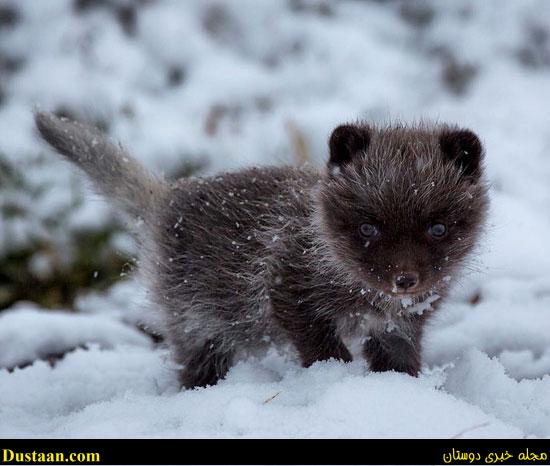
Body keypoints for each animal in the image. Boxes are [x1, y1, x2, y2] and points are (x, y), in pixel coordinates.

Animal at [35, 113, 492, 390]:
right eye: (367, 227)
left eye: (437, 228)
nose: (404, 280)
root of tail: (167, 196)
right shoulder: (287, 291)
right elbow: (322, 348)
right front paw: (335, 378)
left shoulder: (400, 324)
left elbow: (399, 359)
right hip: (198, 324)